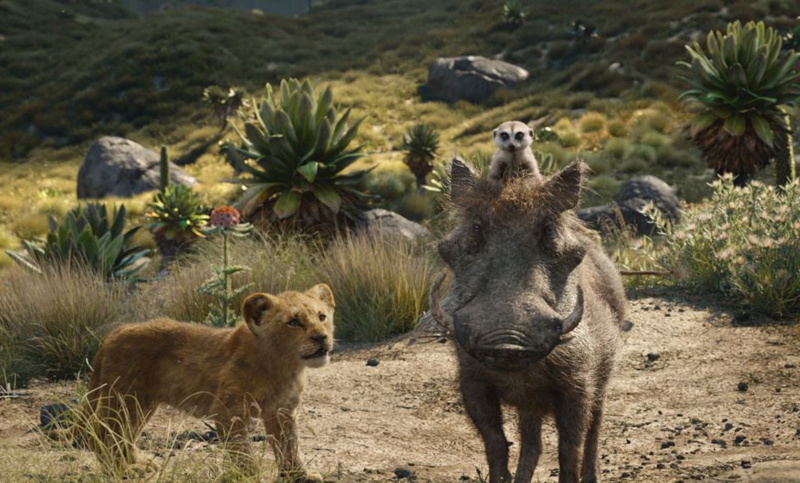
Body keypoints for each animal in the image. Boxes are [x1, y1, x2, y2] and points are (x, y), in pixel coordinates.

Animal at [51, 284, 335, 482]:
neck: (284, 366)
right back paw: (125, 471)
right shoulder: (229, 411)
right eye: (294, 322)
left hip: (140, 403)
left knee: (123, 435)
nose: (322, 337)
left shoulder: (282, 412)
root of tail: (112, 335)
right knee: (102, 435)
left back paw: (140, 463)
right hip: (124, 399)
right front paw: (249, 477)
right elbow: (242, 452)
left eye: (322, 317)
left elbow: (289, 447)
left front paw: (299, 476)